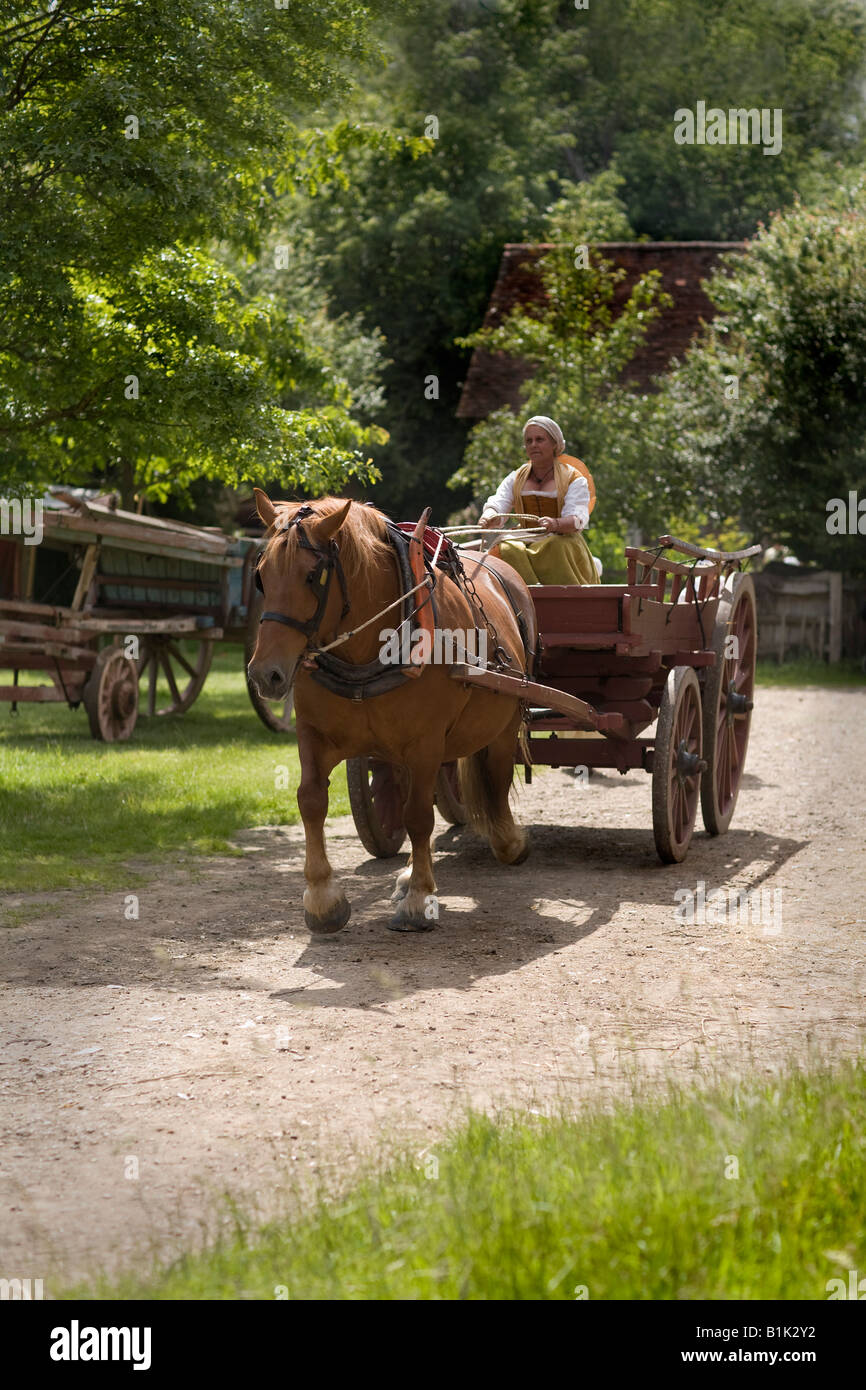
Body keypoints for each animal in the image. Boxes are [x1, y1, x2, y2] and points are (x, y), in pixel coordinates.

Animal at [247, 490, 538, 933]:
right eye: (261, 576)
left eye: (313, 576)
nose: (266, 674)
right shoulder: (313, 733)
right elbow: (311, 799)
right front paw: (323, 898)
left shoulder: (425, 742)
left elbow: (418, 816)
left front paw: (419, 898)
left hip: (505, 719)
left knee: (497, 777)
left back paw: (508, 839)